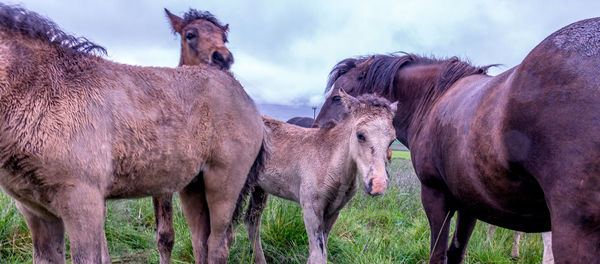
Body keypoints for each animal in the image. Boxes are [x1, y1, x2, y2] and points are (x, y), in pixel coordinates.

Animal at [244, 91, 398, 264]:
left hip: (259, 189)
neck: (329, 159)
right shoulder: (311, 208)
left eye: (392, 140)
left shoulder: (333, 211)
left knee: (252, 220)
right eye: (360, 135)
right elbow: (318, 255)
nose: (378, 185)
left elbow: (318, 253)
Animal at [312, 17, 600, 262]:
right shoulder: (471, 204)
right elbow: (456, 252)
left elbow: (438, 254)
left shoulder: (435, 195)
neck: (433, 99)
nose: (316, 131)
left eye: (337, 97)